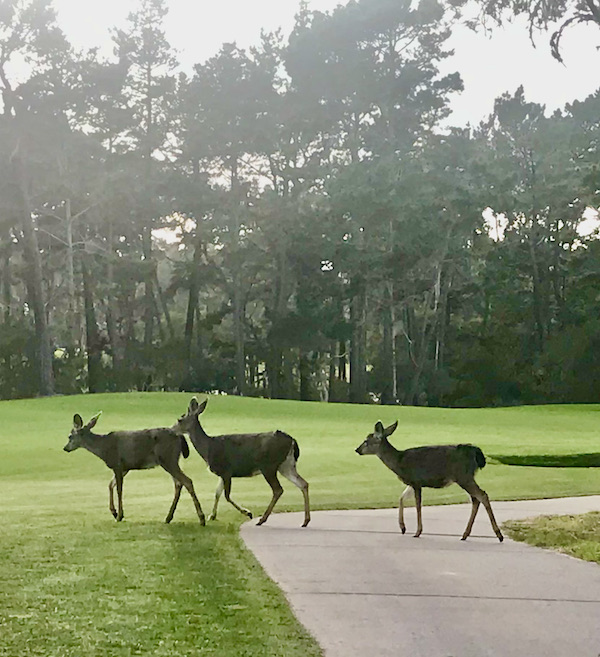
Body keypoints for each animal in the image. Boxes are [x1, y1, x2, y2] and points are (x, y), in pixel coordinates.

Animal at [63, 412, 206, 525]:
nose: (65, 448)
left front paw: (120, 515)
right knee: (178, 483)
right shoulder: (125, 468)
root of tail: (179, 436)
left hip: (167, 458)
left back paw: (201, 518)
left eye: (70, 436)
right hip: (171, 460)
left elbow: (119, 490)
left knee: (187, 481)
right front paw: (114, 512)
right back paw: (168, 517)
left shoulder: (117, 464)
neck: (103, 448)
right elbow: (110, 485)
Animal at [175, 397, 310, 527]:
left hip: (268, 466)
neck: (208, 448)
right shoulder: (222, 473)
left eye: (179, 420)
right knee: (303, 483)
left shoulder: (226, 470)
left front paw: (247, 512)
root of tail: (292, 440)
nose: (172, 429)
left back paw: (262, 519)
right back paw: (305, 521)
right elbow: (217, 492)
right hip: (286, 465)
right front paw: (212, 516)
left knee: (278, 490)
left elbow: (226, 496)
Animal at [355, 421, 503, 542]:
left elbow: (418, 505)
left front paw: (417, 531)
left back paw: (499, 535)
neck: (399, 462)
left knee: (482, 495)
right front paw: (402, 527)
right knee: (475, 499)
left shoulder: (416, 480)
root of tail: (475, 453)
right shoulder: (413, 482)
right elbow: (401, 498)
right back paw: (465, 534)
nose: (357, 449)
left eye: (366, 440)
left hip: (463, 476)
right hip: (466, 477)